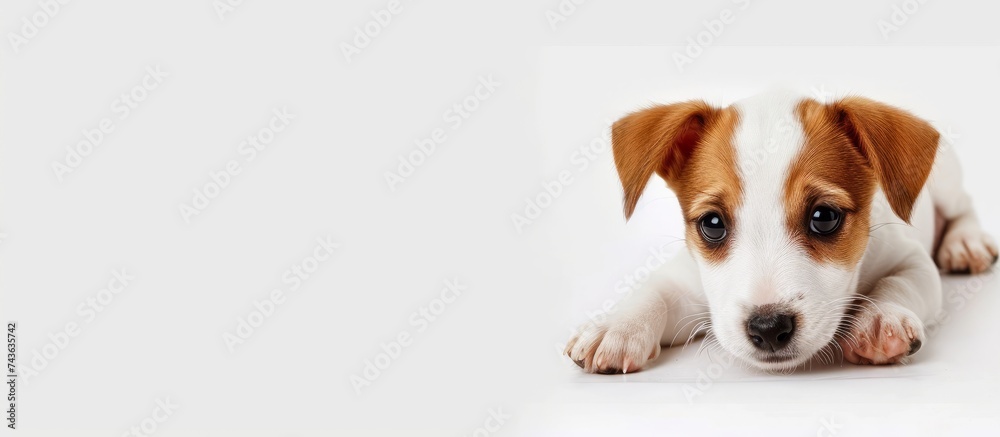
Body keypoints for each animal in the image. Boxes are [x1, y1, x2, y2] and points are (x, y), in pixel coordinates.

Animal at [568, 91, 996, 372]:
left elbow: (901, 282)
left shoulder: (910, 258)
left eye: (824, 216)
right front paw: (617, 327)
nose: (768, 328)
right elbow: (653, 292)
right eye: (712, 224)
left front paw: (879, 319)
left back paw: (965, 243)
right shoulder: (688, 279)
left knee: (963, 206)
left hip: (946, 181)